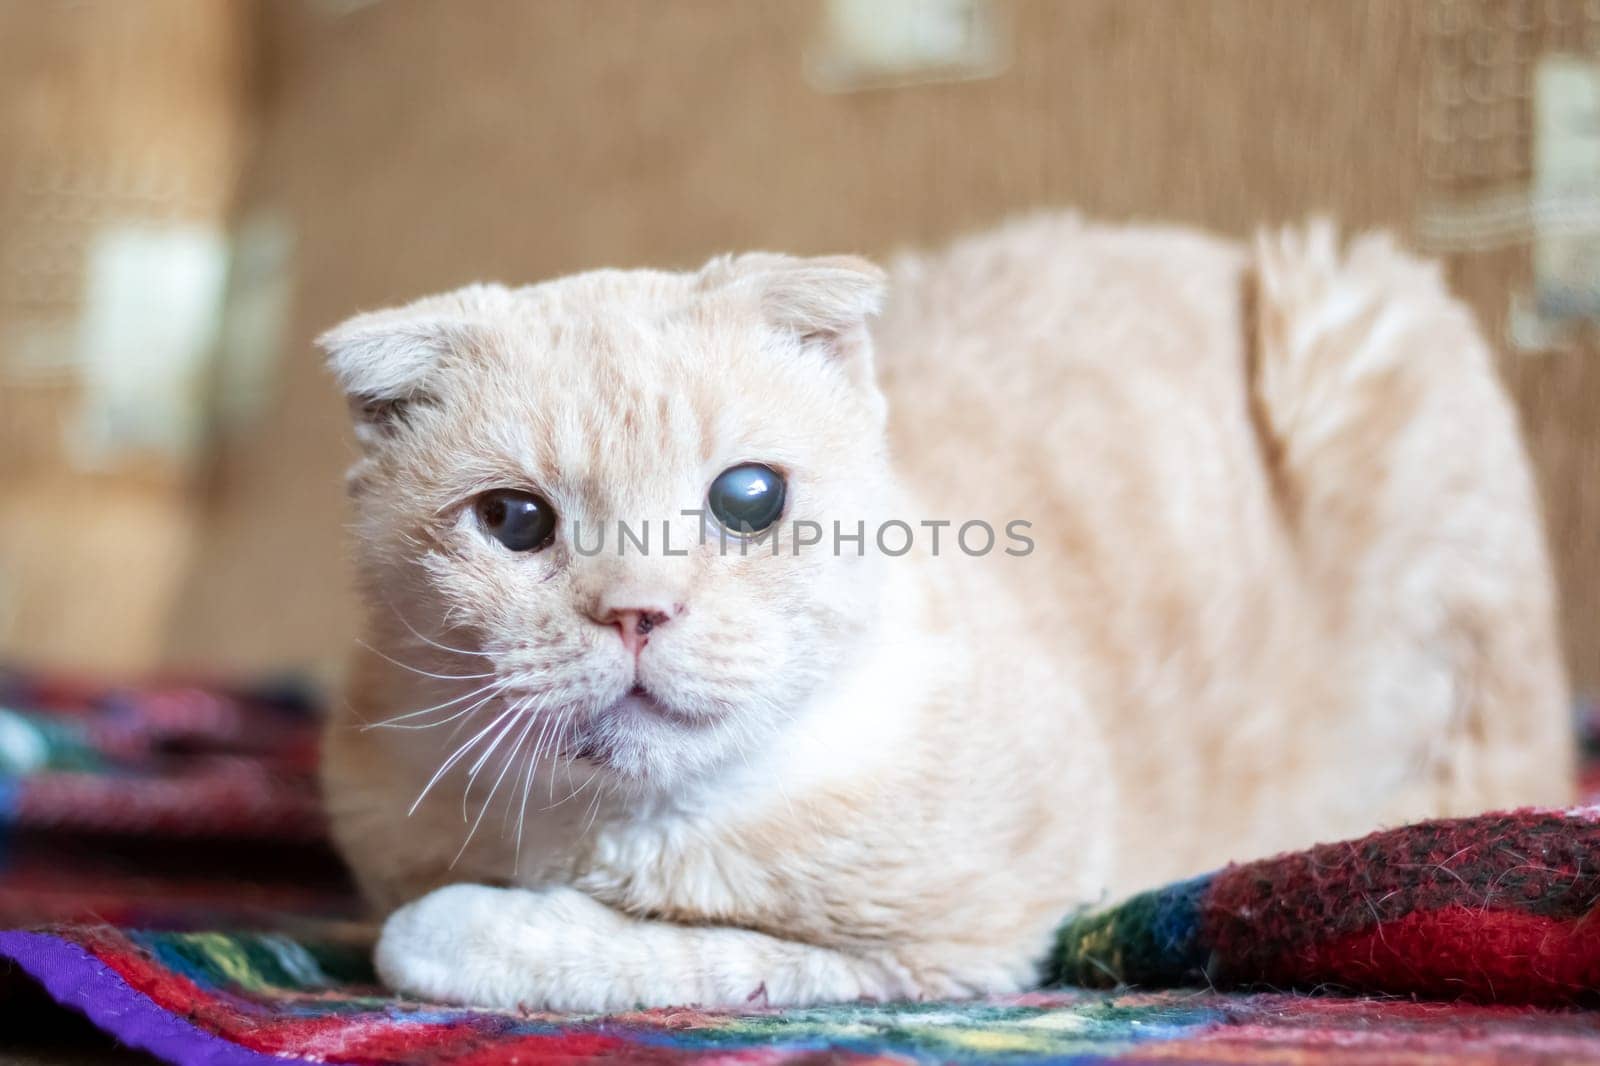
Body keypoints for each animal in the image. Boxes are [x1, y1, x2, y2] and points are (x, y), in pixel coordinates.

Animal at [318, 214, 1568, 1005]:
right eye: (514, 521)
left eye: (748, 497)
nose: (637, 612)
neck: (622, 828)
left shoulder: (963, 944)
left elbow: (505, 941)